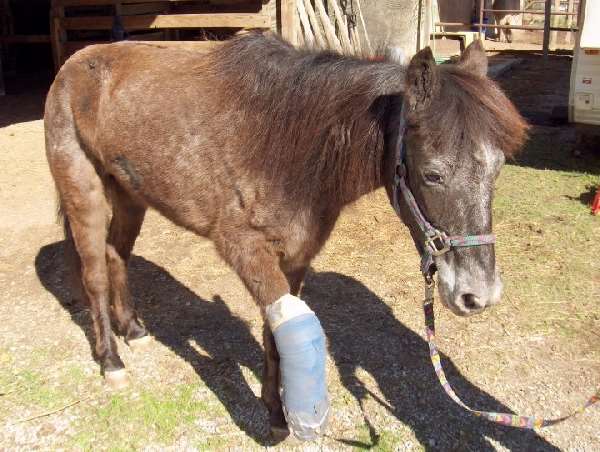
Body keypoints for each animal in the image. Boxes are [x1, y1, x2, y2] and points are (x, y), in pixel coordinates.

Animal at [44, 31, 528, 438]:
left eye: (498, 169)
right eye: (432, 174)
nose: (478, 296)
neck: (285, 145)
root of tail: (76, 62)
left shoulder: (295, 258)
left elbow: (276, 334)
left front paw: (278, 415)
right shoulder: (245, 250)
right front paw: (293, 415)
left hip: (130, 196)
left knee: (117, 255)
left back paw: (133, 328)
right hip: (84, 191)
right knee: (94, 273)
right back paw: (111, 360)